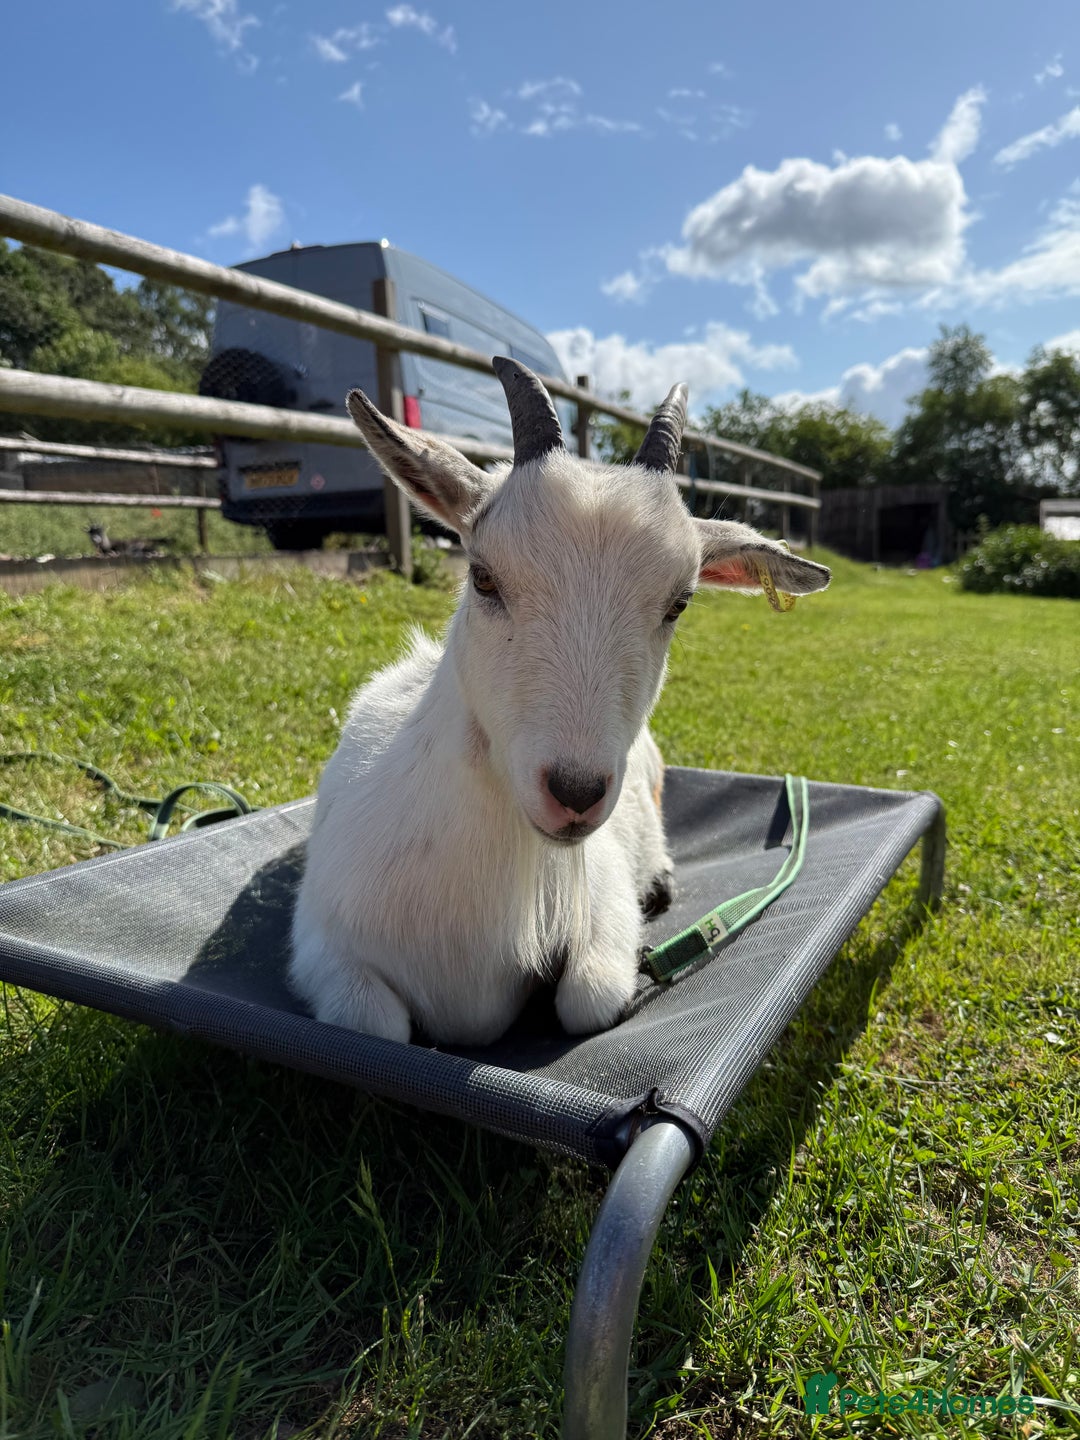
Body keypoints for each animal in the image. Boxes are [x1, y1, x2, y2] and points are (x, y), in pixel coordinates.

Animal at [289, 360, 830, 1046]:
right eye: (482, 576)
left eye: (679, 603)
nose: (575, 792)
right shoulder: (322, 944)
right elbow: (374, 1024)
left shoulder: (602, 910)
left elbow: (589, 999)